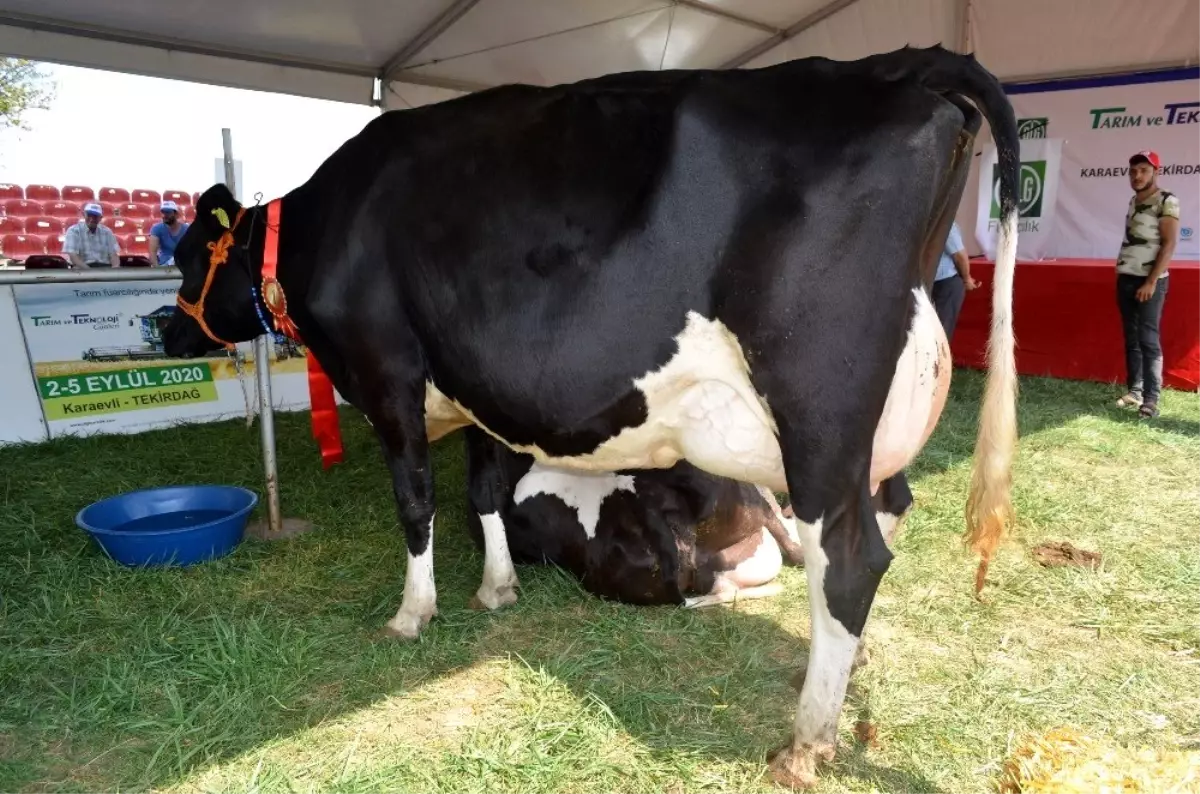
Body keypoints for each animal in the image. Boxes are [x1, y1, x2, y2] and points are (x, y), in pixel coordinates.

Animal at [164, 46, 1017, 791]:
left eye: (183, 254)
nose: (164, 332)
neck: (320, 233)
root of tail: (896, 64)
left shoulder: (389, 379)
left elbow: (416, 503)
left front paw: (413, 613)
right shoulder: (479, 389)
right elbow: (483, 492)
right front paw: (497, 589)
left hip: (818, 407)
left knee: (849, 556)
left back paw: (806, 742)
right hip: (876, 415)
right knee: (890, 507)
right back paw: (849, 667)